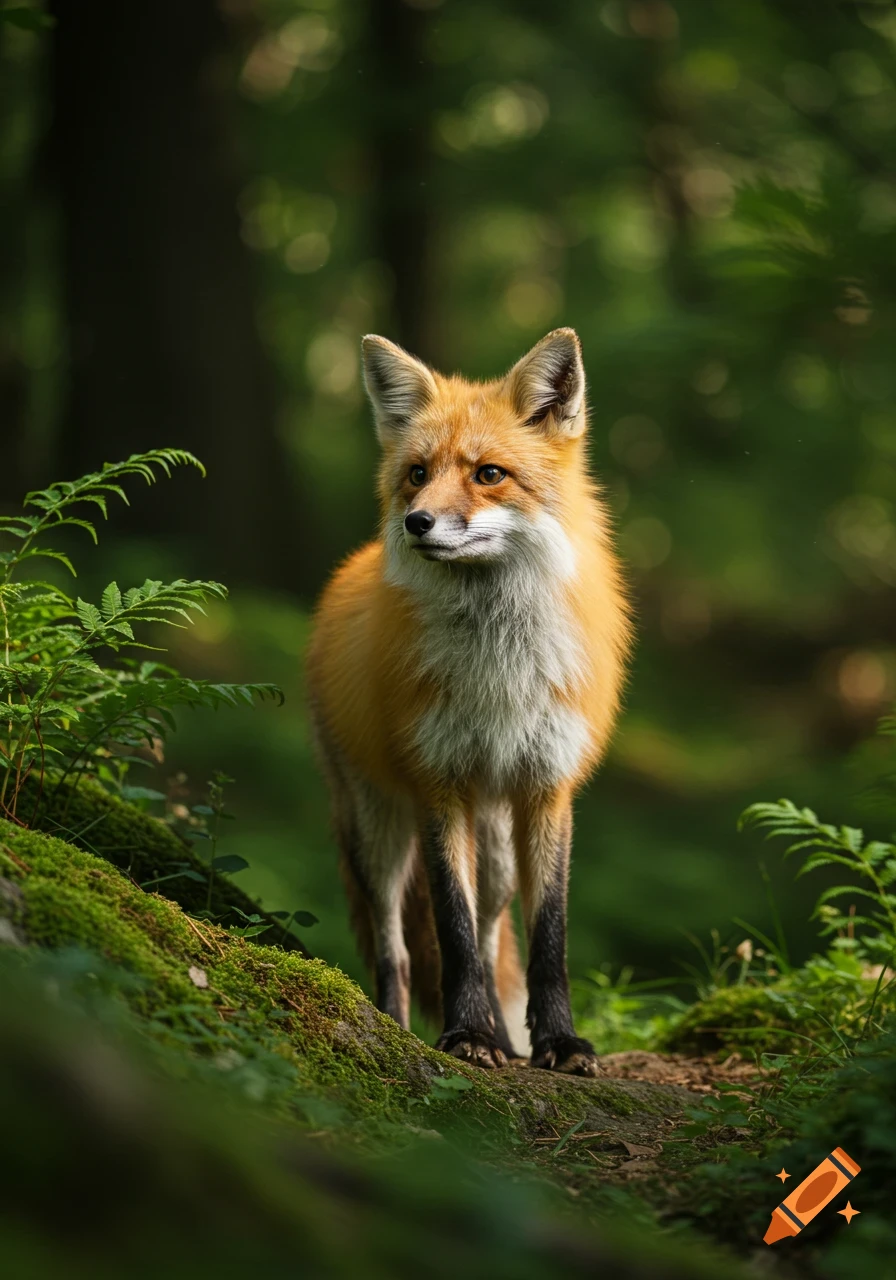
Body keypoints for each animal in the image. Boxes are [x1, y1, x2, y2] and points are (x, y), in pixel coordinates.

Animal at [307, 328, 632, 1074]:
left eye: (489, 474)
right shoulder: (438, 783)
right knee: (398, 950)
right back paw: (398, 1025)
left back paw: (510, 1044)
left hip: (499, 847)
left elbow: (545, 937)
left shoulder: (547, 787)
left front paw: (557, 1042)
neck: (499, 672)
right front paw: (466, 1036)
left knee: (491, 935)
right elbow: (450, 931)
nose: (417, 522)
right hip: (378, 829)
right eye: (417, 473)